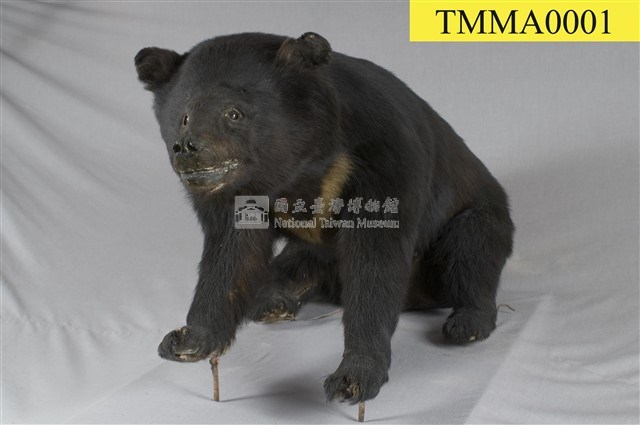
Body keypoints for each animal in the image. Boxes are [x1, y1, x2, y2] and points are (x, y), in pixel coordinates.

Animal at [135, 32, 514, 405]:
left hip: (478, 216)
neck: (303, 161)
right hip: (312, 255)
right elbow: (230, 255)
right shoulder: (234, 194)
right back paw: (272, 300)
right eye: (183, 116)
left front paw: (353, 377)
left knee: (472, 250)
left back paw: (468, 323)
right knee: (291, 265)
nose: (187, 147)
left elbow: (376, 261)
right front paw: (186, 342)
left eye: (234, 113)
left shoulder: (383, 157)